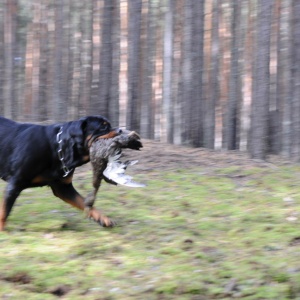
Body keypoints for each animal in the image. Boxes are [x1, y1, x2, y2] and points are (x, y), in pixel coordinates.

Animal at [0, 116, 128, 231]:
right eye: (103, 126)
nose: (121, 130)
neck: (56, 148)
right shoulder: (15, 184)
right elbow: (5, 211)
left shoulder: (63, 187)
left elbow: (84, 202)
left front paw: (103, 219)